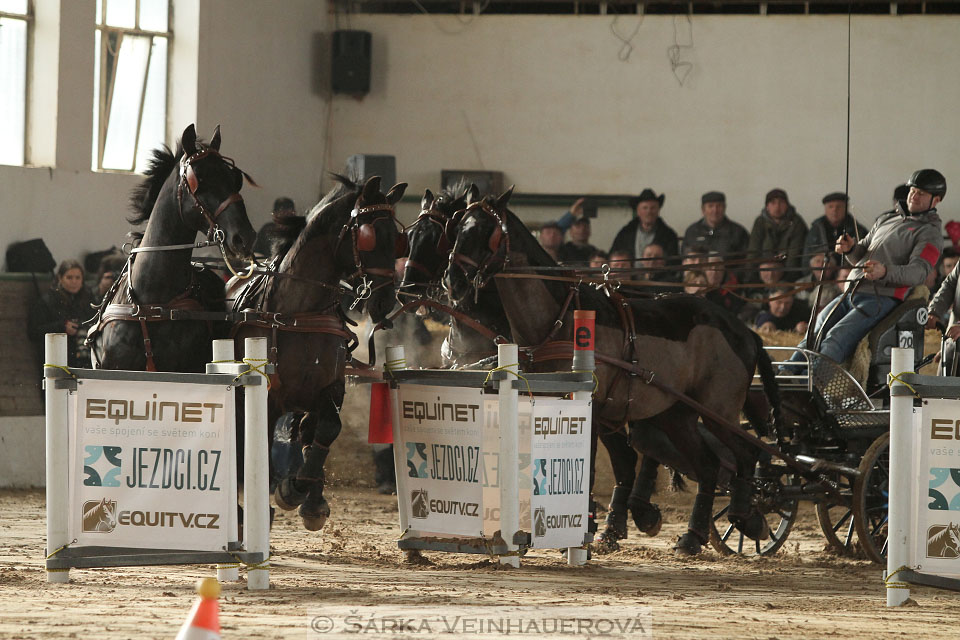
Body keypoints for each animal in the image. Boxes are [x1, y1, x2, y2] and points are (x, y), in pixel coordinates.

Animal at [232, 175, 404, 528]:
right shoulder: (268, 396)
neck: (300, 312)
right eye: (370, 236)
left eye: (396, 240)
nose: (385, 301)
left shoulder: (330, 388)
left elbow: (327, 428)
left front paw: (302, 493)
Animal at [442, 190, 780, 556]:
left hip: (718, 411)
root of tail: (744, 331)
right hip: (677, 415)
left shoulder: (587, 407)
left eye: (484, 229)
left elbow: (588, 468)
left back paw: (746, 516)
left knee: (746, 454)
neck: (558, 320)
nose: (453, 280)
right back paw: (693, 536)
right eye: (457, 226)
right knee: (708, 466)